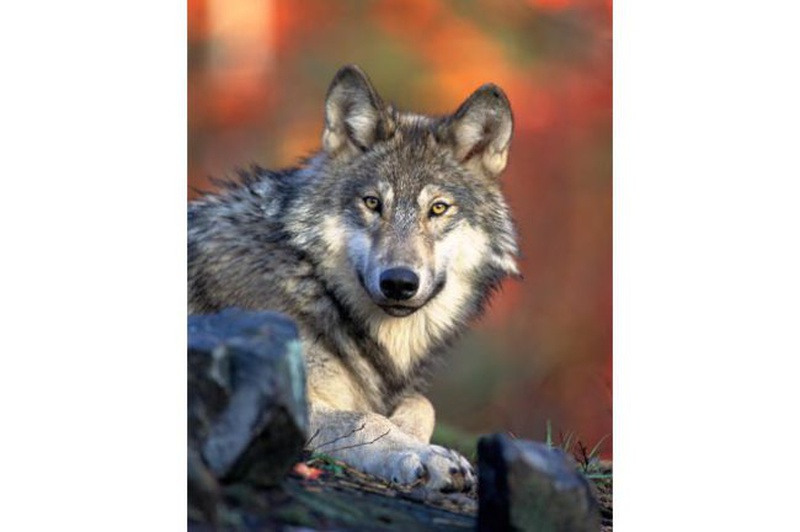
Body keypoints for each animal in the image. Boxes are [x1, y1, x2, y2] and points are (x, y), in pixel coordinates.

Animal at [191, 66, 520, 494]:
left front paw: (414, 439)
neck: (315, 284)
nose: (399, 282)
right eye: (372, 203)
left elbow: (422, 404)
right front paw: (425, 456)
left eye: (438, 208)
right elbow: (365, 419)